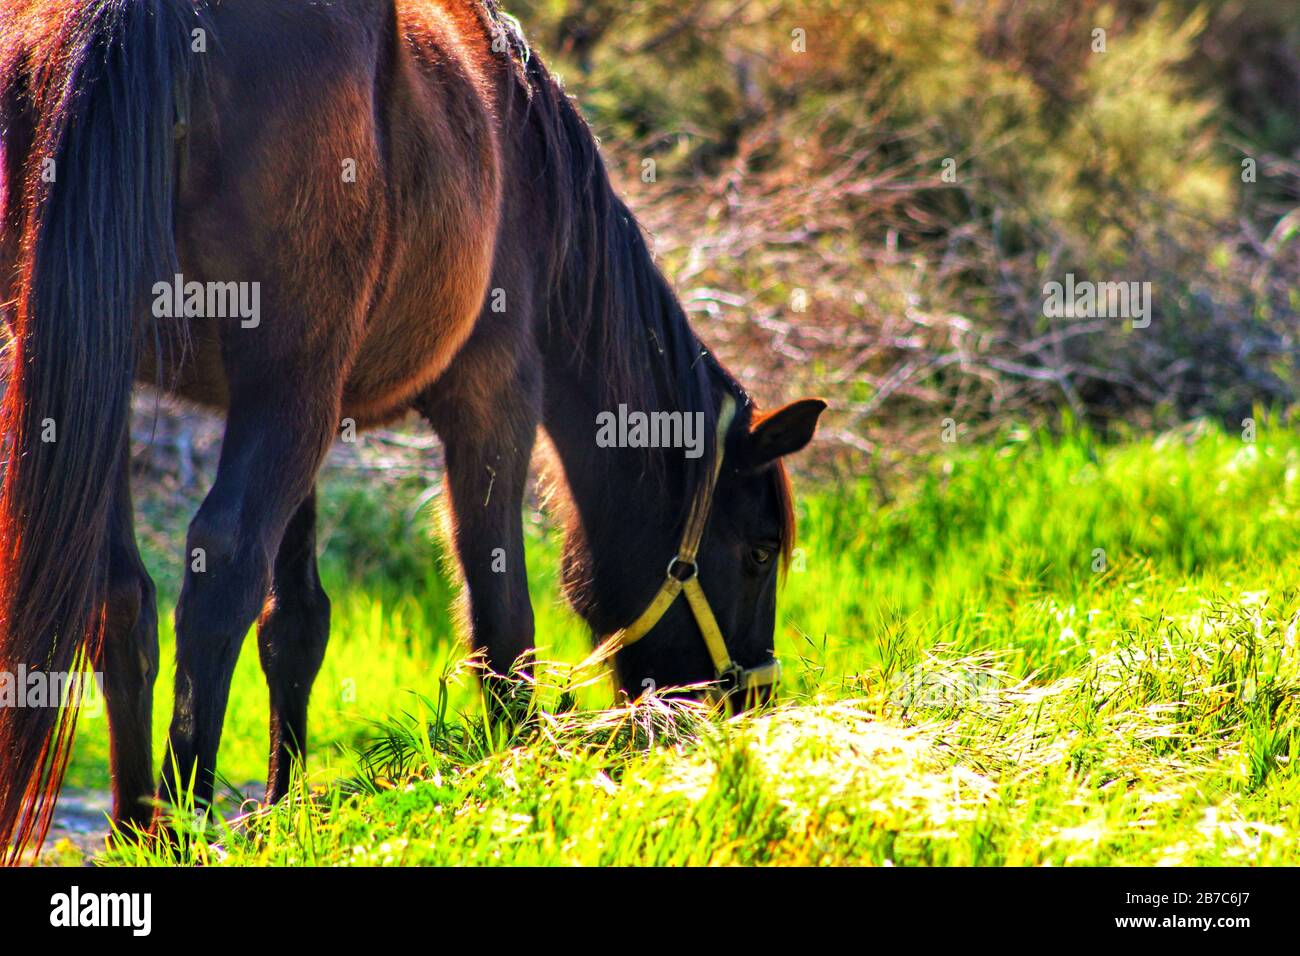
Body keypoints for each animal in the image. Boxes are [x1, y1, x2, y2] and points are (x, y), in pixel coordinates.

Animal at [0, 0, 826, 863]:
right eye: (760, 551)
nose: (749, 712)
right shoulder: (491, 395)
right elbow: (502, 620)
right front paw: (518, 781)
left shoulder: (287, 406)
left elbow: (296, 624)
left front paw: (286, 809)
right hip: (290, 374)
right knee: (220, 571)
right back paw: (183, 823)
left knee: (122, 592)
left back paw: (138, 828)